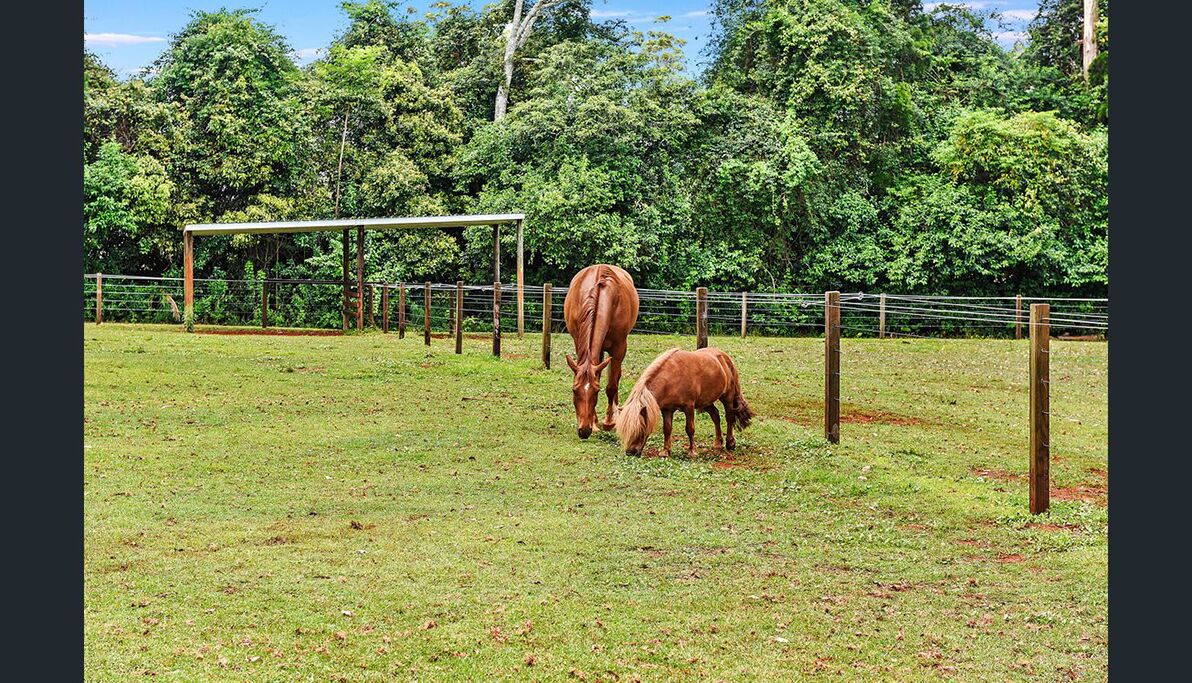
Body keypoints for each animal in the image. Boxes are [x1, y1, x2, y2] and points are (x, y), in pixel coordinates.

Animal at [562, 263, 638, 438]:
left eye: (596, 392)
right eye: (574, 390)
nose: (584, 431)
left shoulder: (619, 348)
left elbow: (612, 386)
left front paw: (609, 422)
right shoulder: (579, 343)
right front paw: (595, 423)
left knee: (615, 377)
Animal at [615, 348, 753, 455]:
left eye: (640, 429)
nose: (630, 452)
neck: (673, 377)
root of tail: (724, 357)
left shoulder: (689, 407)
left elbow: (690, 429)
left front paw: (692, 452)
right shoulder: (667, 410)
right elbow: (667, 429)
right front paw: (665, 451)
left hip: (727, 397)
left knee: (729, 417)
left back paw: (730, 443)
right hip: (706, 402)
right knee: (715, 416)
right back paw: (718, 444)